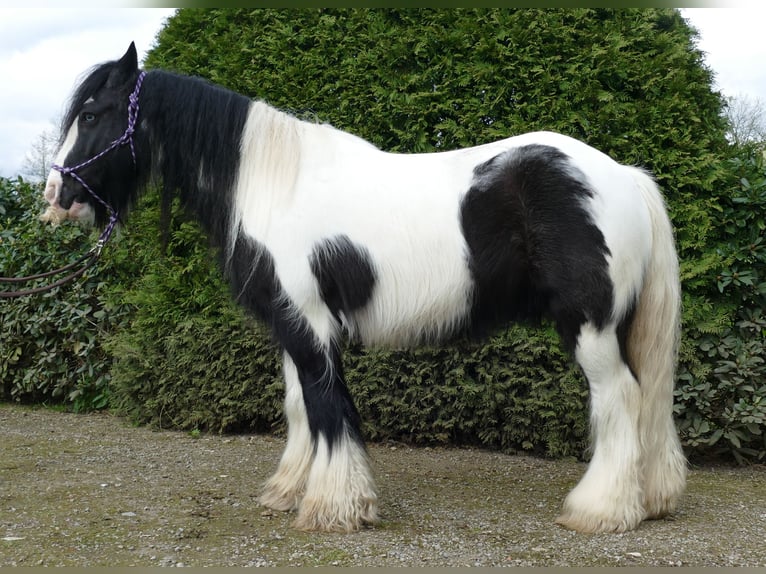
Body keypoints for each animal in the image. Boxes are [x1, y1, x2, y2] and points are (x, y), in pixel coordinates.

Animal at [43, 44, 688, 536]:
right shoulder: (289, 324)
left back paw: (600, 510)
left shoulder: (311, 322)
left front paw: (335, 507)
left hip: (589, 325)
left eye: (93, 114)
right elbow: (300, 406)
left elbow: (330, 409)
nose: (56, 199)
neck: (273, 184)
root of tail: (624, 176)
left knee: (619, 397)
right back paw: (650, 499)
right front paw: (288, 490)